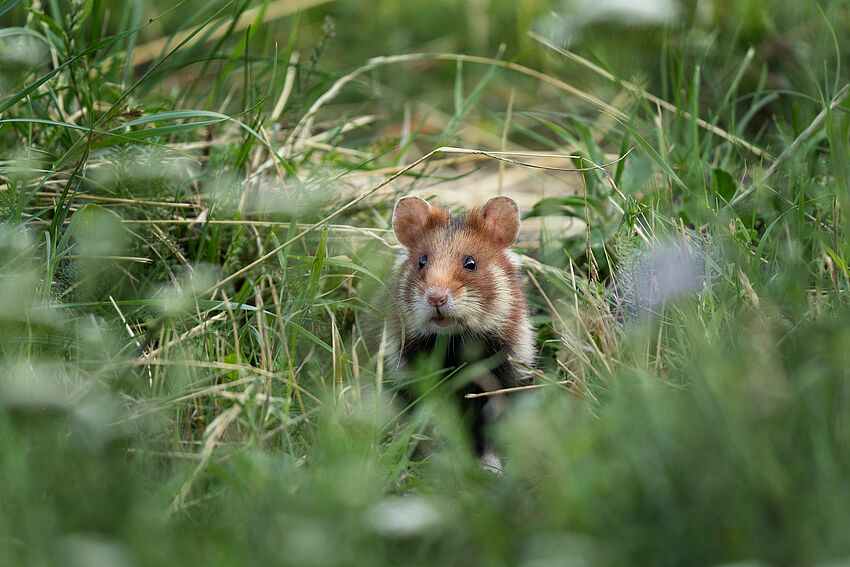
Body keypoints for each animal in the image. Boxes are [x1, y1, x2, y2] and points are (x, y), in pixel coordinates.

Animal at [388, 195, 532, 466]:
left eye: (471, 263)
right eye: (422, 261)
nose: (436, 297)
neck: (455, 343)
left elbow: (488, 434)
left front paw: (491, 467)